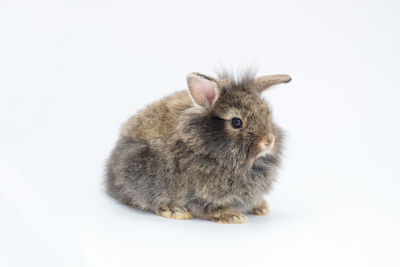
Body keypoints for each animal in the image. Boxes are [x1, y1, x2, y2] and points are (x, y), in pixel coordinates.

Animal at [104, 70, 292, 224]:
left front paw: (260, 207)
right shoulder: (200, 194)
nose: (268, 141)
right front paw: (233, 216)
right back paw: (175, 210)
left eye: (267, 114)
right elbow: (209, 208)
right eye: (236, 122)